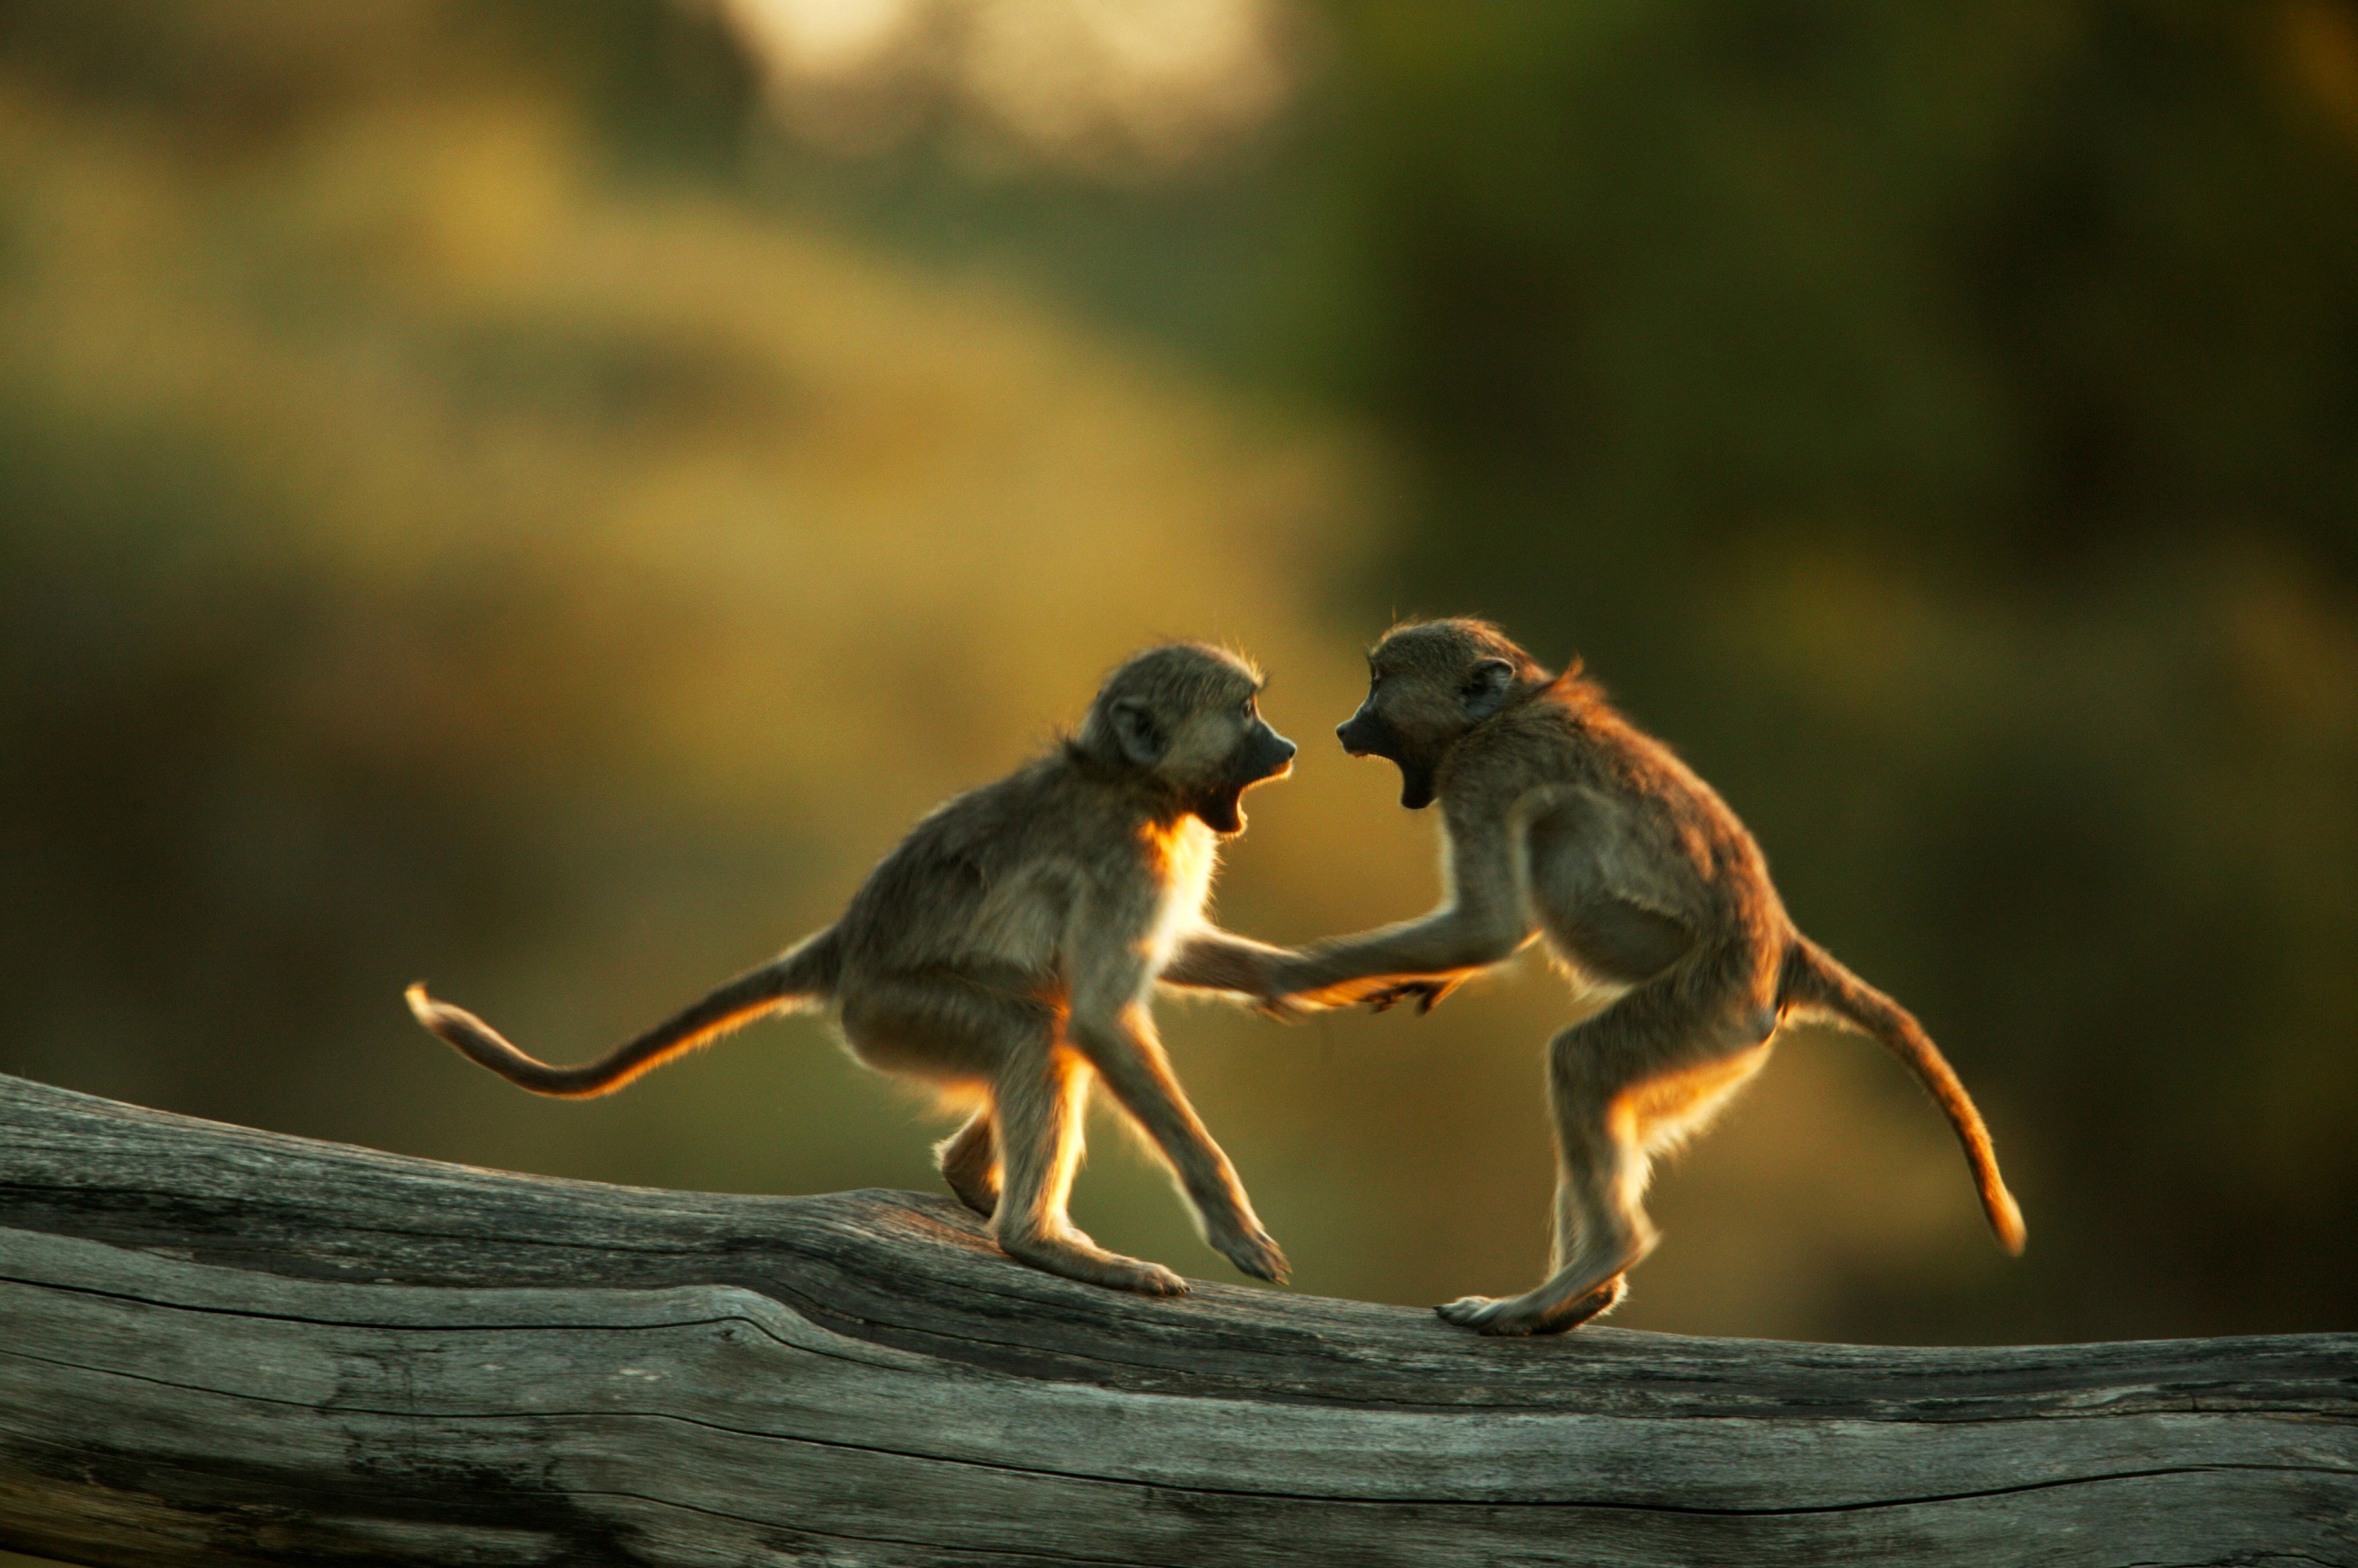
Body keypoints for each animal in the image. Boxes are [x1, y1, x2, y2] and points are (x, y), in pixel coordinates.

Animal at [408, 643, 1310, 1298]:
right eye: (1246, 713)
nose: (1288, 746)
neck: (1131, 783)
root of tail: (845, 945)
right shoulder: (1129, 863)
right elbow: (1101, 1015)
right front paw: (1232, 1224)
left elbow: (1149, 975)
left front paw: (1310, 974)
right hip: (895, 1014)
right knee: (1039, 1025)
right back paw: (1035, 1240)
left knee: (1046, 1014)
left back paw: (976, 1180)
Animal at [1262, 618, 2025, 1336]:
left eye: (1379, 684)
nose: (1346, 726)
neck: (1505, 712)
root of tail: (1783, 948)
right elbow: (1505, 924)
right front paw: (1425, 978)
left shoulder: (1484, 774)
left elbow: (1491, 925)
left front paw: (1295, 972)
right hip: (1715, 1053)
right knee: (1613, 1106)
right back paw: (1579, 1297)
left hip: (1706, 1007)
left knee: (1580, 1062)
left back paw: (1584, 1270)